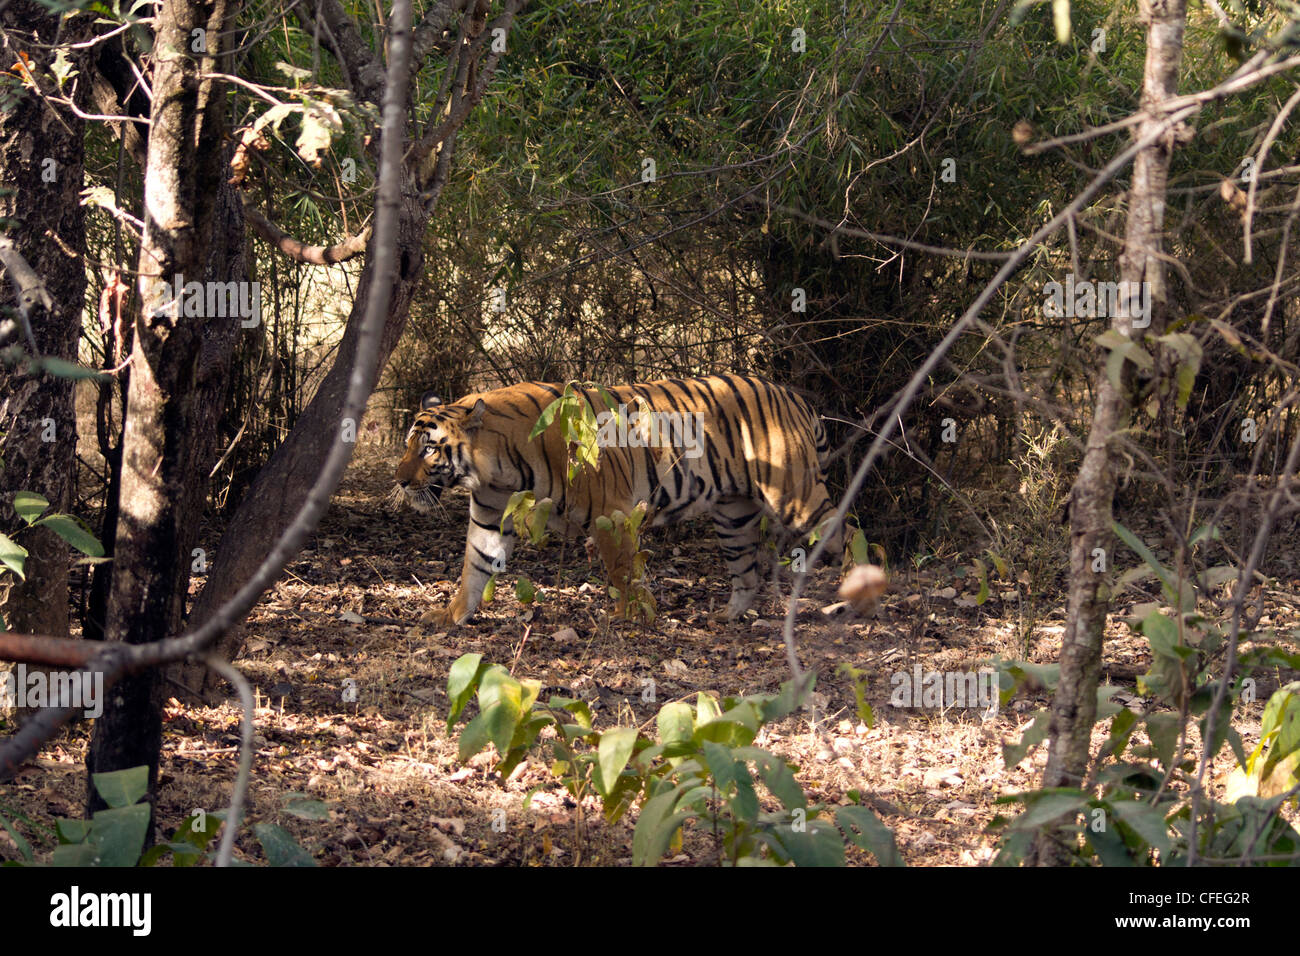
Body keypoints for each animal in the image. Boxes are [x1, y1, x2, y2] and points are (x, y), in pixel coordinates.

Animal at [390, 374, 847, 629]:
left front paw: (632, 617)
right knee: (746, 571)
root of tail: (795, 397)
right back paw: (729, 616)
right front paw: (451, 616)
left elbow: (624, 571)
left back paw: (852, 601)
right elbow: (475, 568)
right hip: (733, 513)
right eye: (408, 444)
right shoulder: (490, 516)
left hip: (795, 496)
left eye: (428, 449)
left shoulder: (610, 513)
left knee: (843, 530)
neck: (492, 468)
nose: (399, 480)